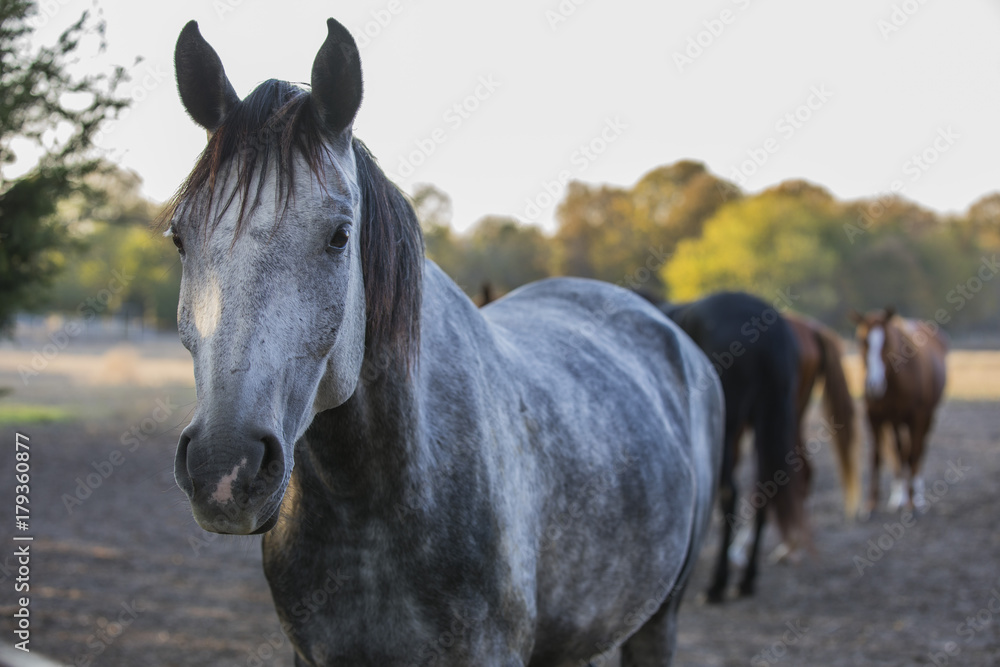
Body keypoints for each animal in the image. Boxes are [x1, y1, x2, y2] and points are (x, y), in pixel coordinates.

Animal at [640, 291, 804, 603]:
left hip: (728, 426)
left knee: (730, 491)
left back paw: (718, 583)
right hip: (766, 417)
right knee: (764, 488)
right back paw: (746, 580)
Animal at [849, 307, 947, 515]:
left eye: (886, 342)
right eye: (863, 341)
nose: (873, 385)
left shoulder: (917, 418)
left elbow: (913, 454)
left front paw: (912, 503)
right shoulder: (874, 418)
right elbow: (877, 457)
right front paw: (870, 505)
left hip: (926, 418)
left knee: (917, 452)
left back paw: (916, 497)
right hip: (894, 422)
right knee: (898, 453)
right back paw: (897, 497)